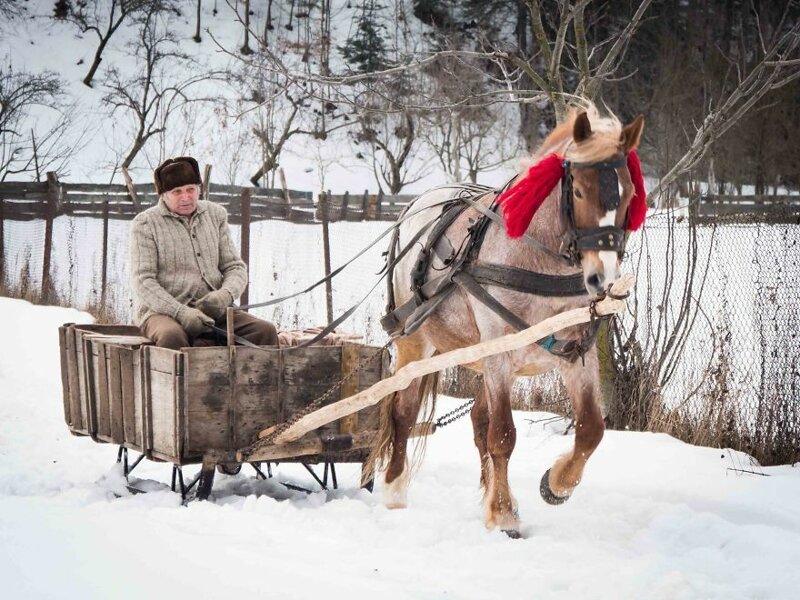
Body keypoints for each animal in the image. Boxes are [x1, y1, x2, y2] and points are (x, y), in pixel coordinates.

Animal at [372, 98, 648, 536]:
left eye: (629, 194)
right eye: (579, 190)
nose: (601, 278)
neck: (539, 259)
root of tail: (418, 202)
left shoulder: (577, 353)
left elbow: (590, 429)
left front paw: (556, 484)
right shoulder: (499, 355)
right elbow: (503, 435)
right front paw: (503, 515)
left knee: (477, 421)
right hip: (416, 342)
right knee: (404, 412)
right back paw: (395, 491)